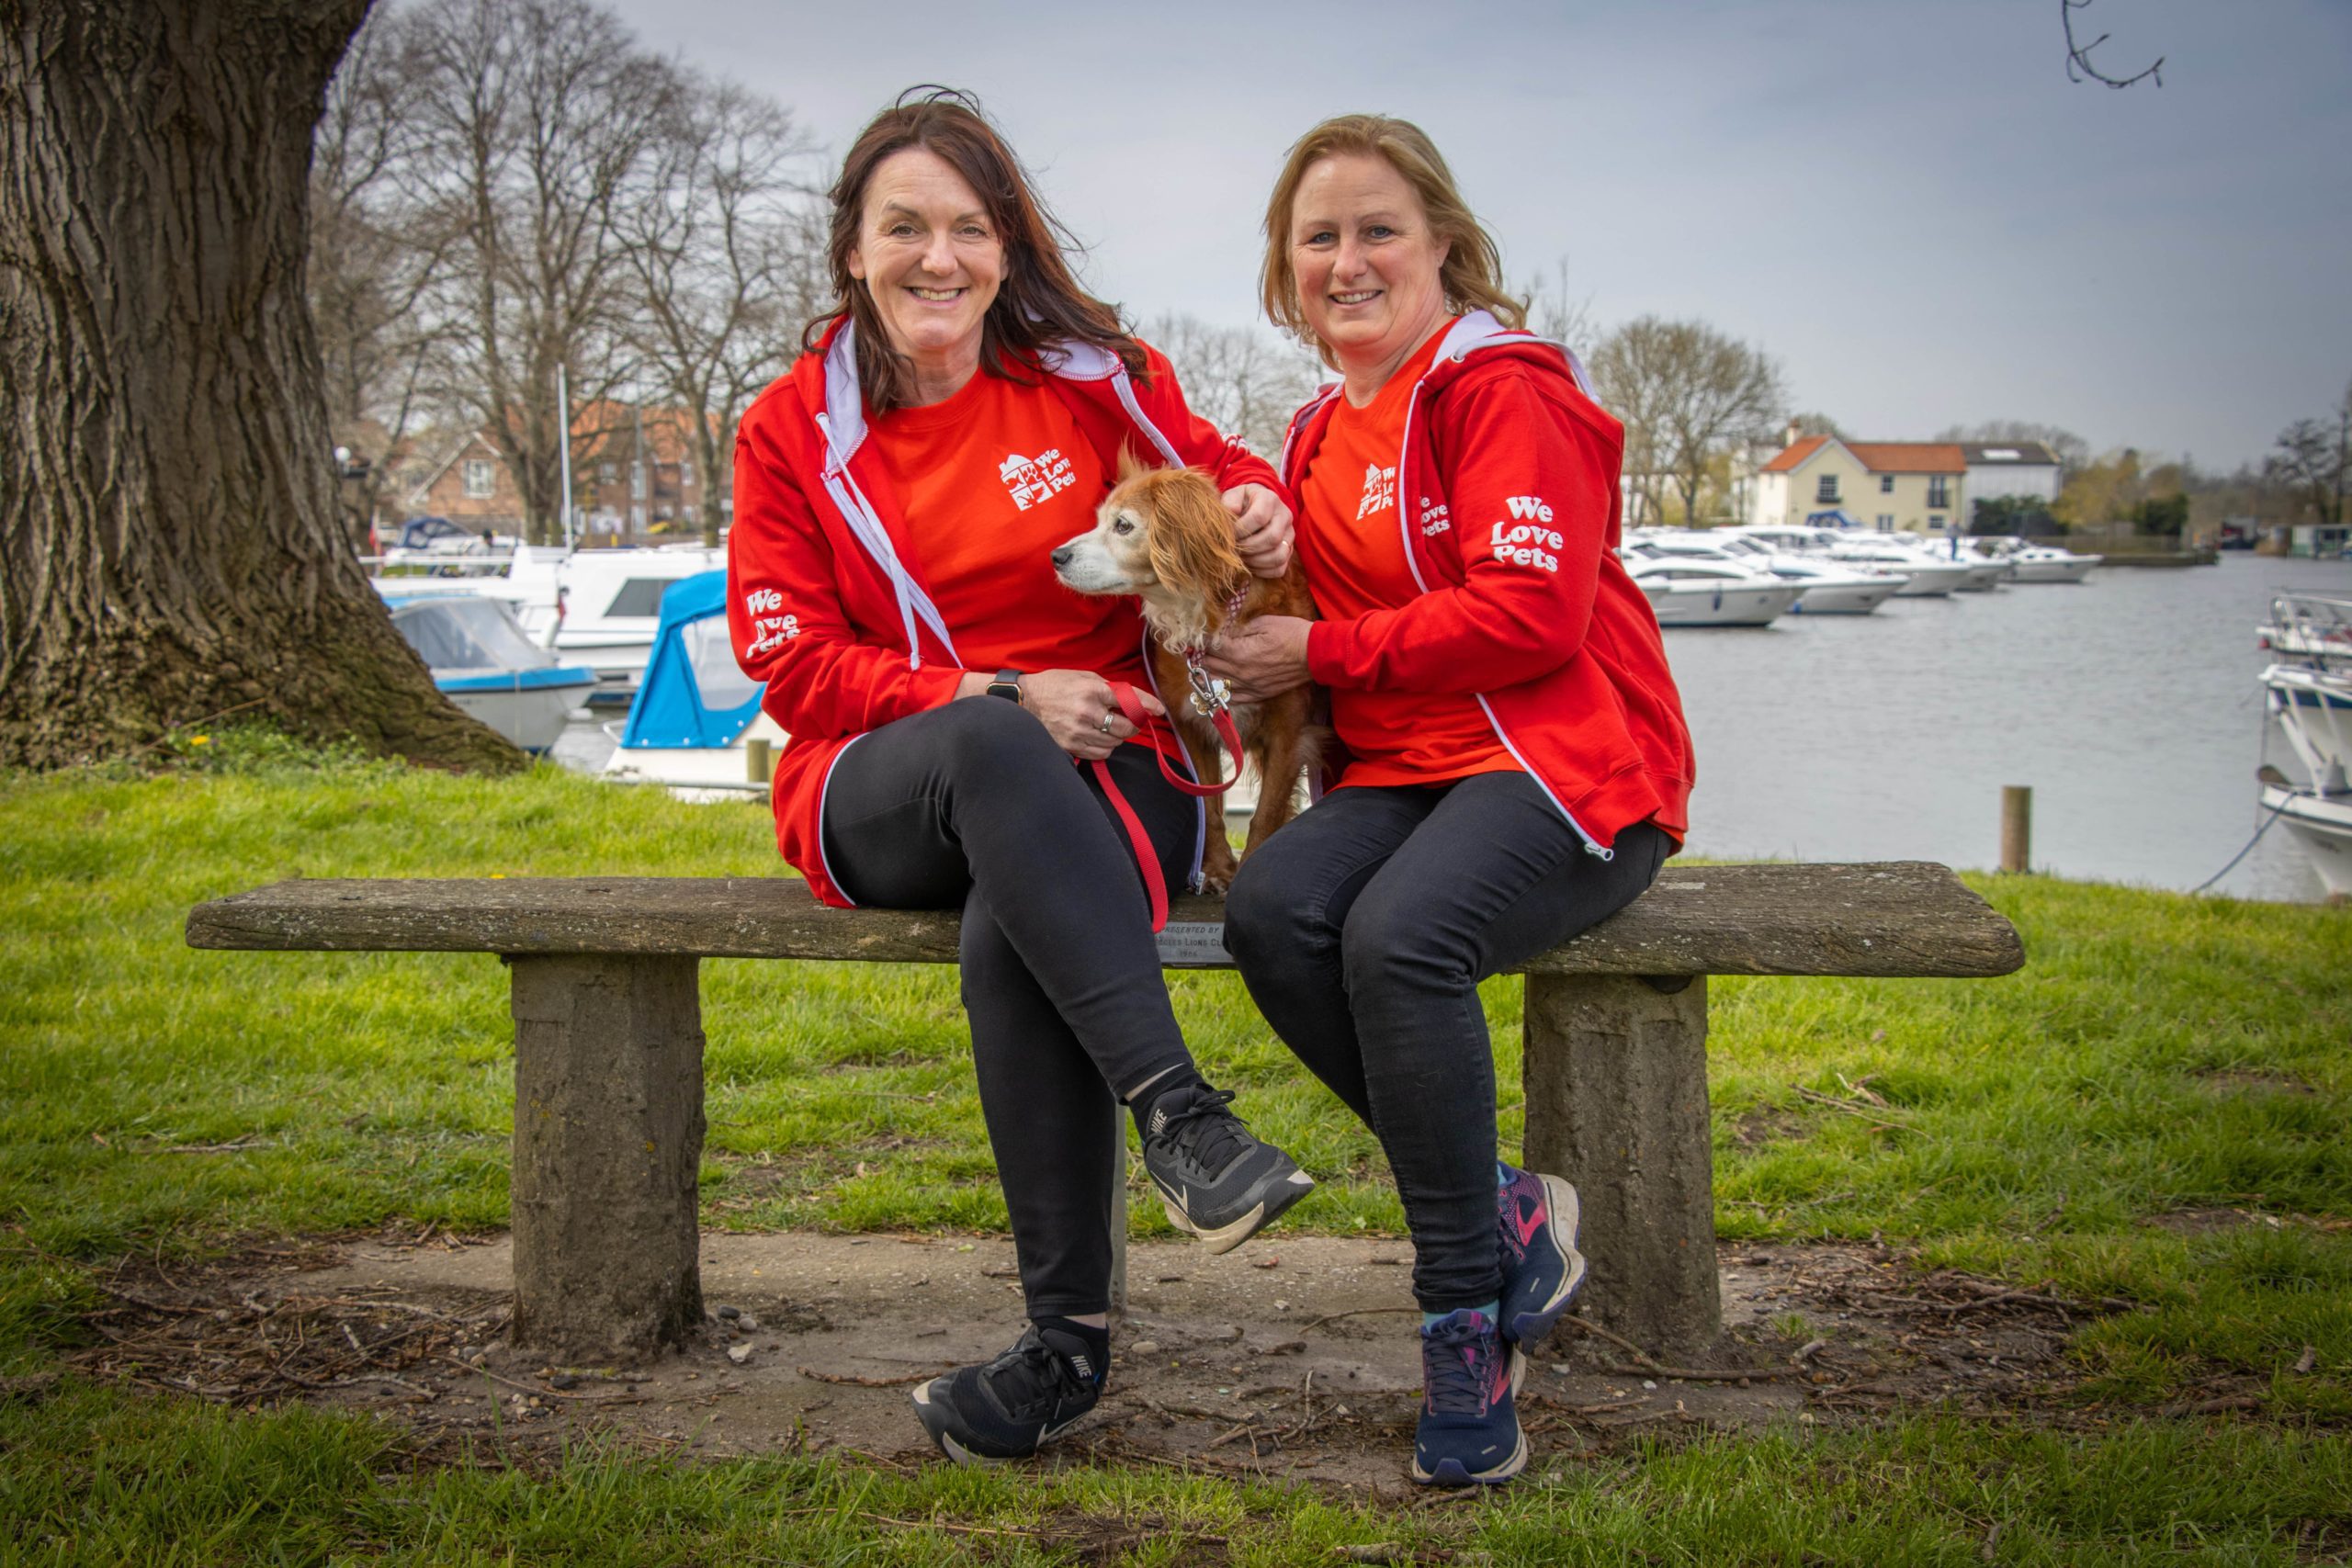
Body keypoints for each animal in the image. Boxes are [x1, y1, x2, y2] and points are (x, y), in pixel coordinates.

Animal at [1058, 460, 1336, 888]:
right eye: (1099, 520)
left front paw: (1247, 865)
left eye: (1122, 525)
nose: (1057, 556)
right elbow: (1211, 806)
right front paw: (1218, 868)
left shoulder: (1289, 735)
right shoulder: (1194, 727)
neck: (1206, 618)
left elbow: (1266, 811)